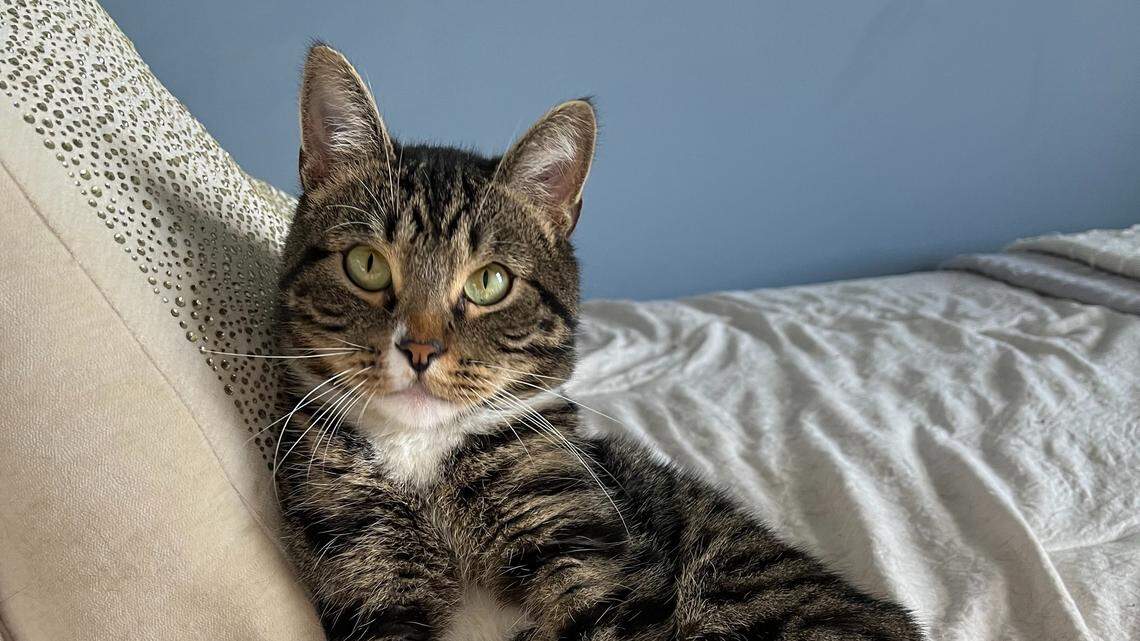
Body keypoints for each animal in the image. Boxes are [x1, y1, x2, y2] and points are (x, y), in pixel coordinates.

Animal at [271, 43, 926, 641]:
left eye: (490, 282)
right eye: (366, 265)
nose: (420, 350)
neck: (422, 455)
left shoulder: (586, 556)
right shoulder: (368, 573)